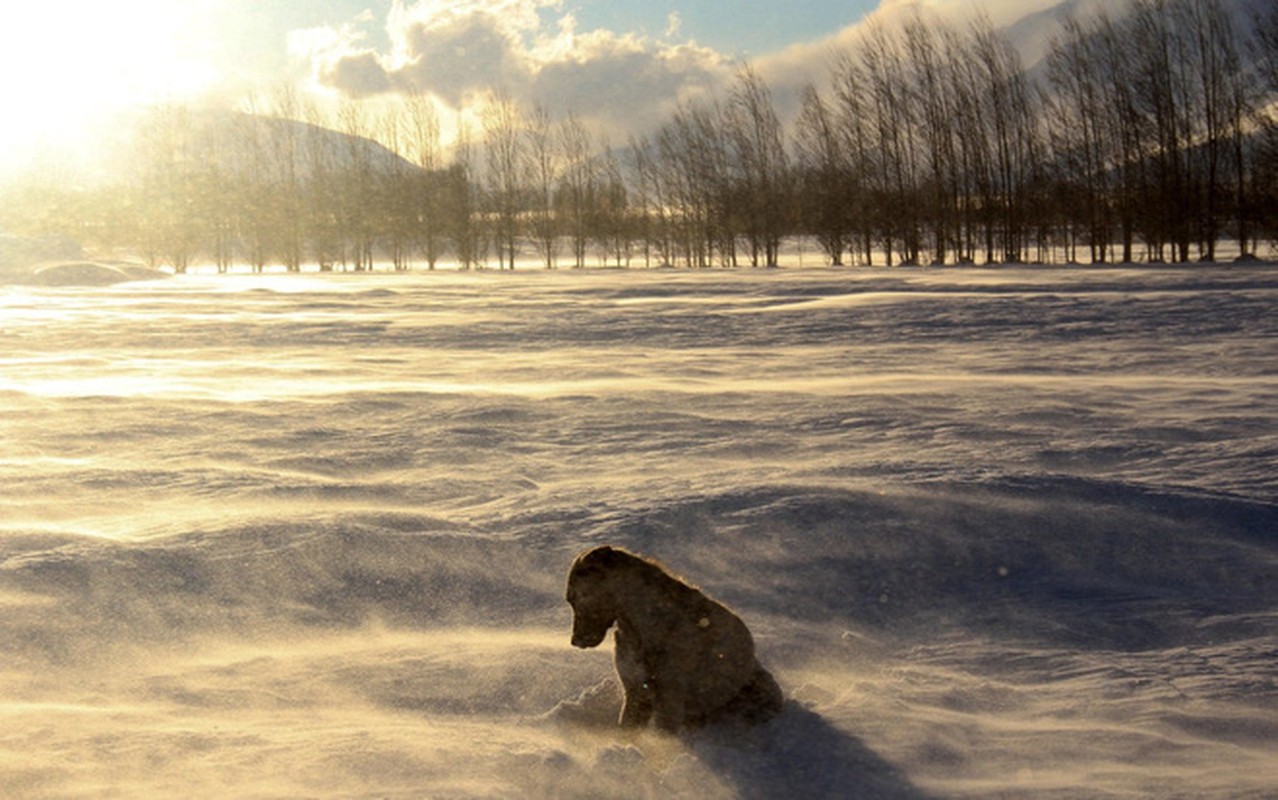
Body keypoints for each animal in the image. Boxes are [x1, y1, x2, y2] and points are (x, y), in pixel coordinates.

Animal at [564, 541, 782, 730]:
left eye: (574, 598)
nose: (575, 641)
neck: (637, 627)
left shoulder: (669, 699)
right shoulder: (635, 693)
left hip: (761, 689)